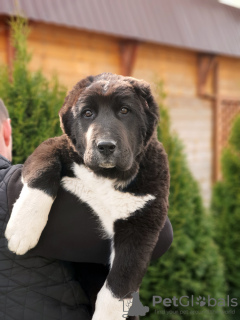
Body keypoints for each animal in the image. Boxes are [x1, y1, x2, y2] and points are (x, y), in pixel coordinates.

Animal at [4, 73, 170, 320]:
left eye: (125, 111)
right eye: (88, 113)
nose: (106, 146)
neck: (106, 176)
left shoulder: (143, 222)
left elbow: (119, 284)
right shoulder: (55, 145)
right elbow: (44, 168)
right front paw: (23, 229)